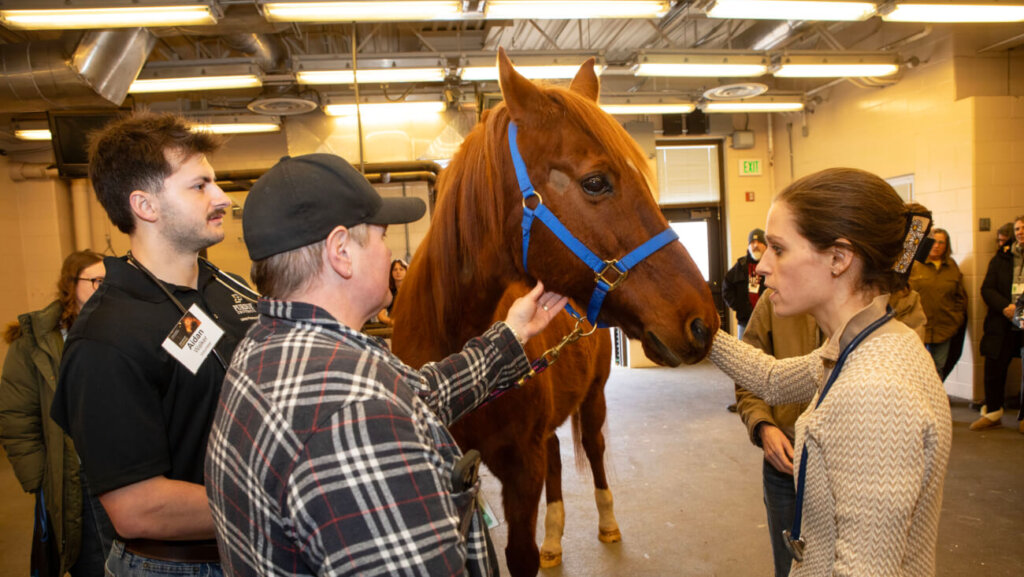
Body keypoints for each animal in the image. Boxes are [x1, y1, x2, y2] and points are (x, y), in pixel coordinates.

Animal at [391, 48, 719, 577]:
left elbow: (521, 552)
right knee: (559, 458)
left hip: (594, 400)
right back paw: (555, 536)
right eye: (596, 182)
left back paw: (606, 522)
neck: (453, 338)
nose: (703, 321)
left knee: (594, 451)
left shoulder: (521, 470)